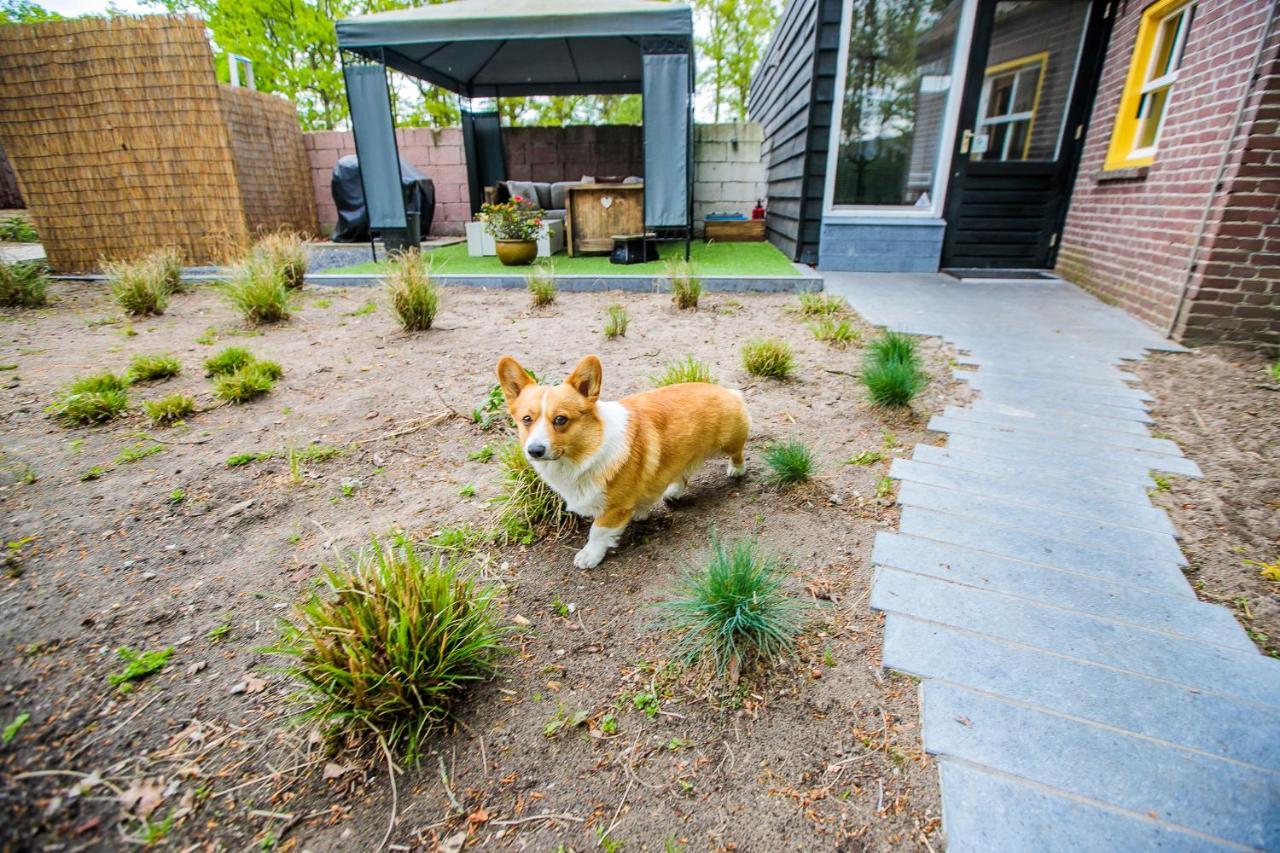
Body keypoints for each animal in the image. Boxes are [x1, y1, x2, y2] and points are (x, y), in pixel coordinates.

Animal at [496, 350, 747, 563]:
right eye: (527, 419)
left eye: (560, 419)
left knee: (738, 452)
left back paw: (736, 470)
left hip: (729, 442)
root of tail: (724, 390)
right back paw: (674, 491)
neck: (587, 452)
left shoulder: (613, 508)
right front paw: (641, 511)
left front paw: (589, 556)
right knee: (681, 472)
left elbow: (598, 531)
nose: (535, 451)